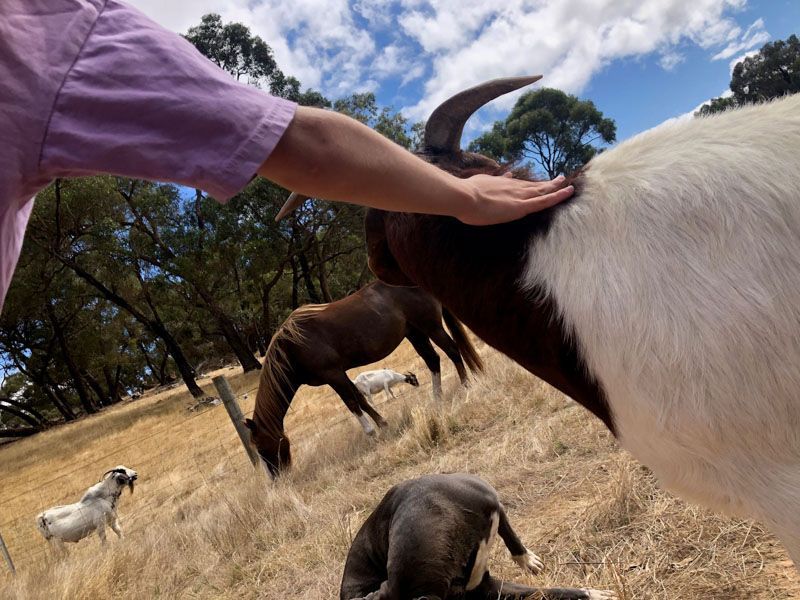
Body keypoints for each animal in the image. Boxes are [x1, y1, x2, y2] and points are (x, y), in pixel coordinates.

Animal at [244, 282, 482, 478]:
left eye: (262, 448)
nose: (278, 478)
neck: (292, 347)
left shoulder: (333, 374)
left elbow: (352, 403)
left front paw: (370, 433)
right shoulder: (341, 374)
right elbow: (361, 399)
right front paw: (383, 425)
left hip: (430, 327)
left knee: (452, 350)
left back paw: (466, 385)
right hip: (415, 333)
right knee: (433, 360)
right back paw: (437, 398)